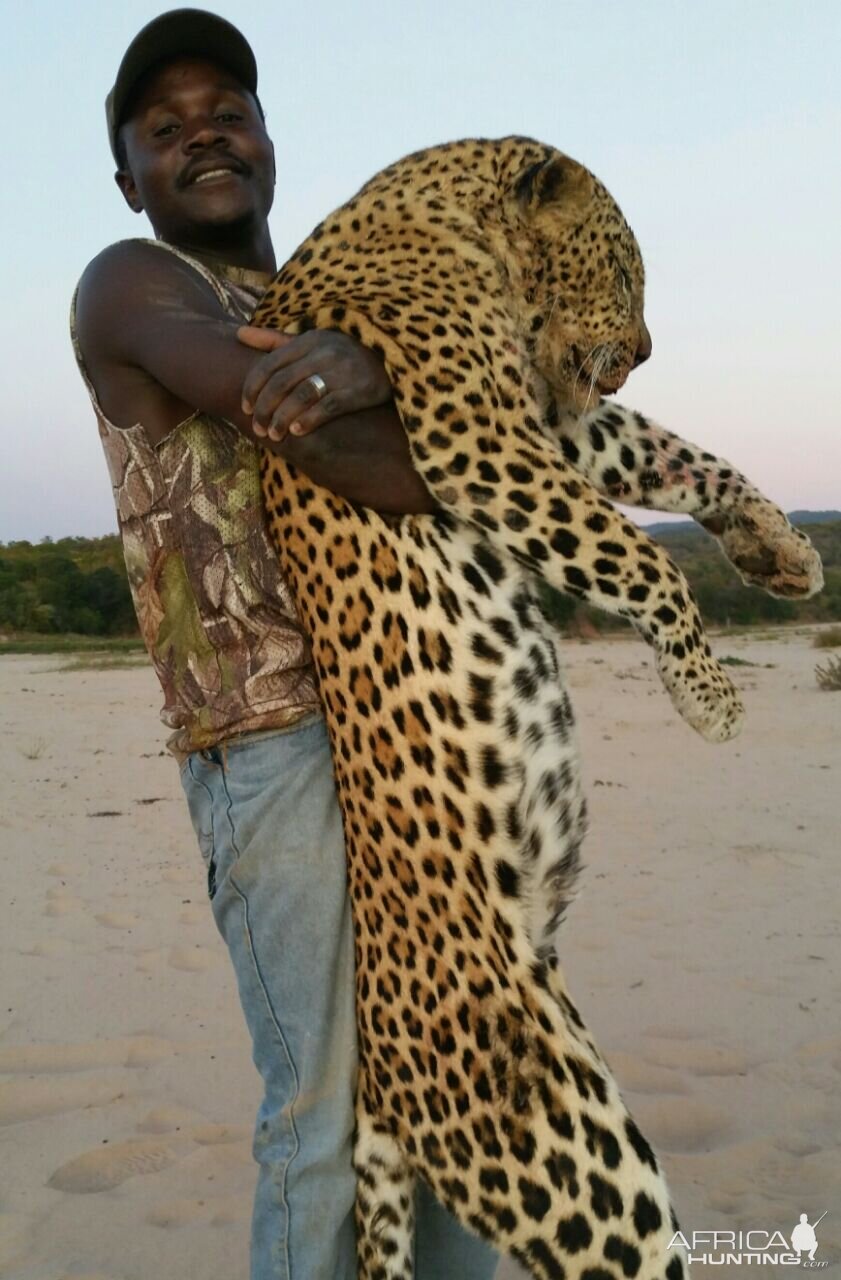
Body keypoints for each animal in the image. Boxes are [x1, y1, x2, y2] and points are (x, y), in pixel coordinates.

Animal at [249, 140, 819, 1280]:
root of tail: (378, 1089)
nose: (643, 350)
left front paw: (781, 549)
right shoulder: (475, 433)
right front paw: (707, 695)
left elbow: (673, 455)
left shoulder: (549, 415)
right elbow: (635, 553)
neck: (445, 211)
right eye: (628, 268)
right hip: (553, 1139)